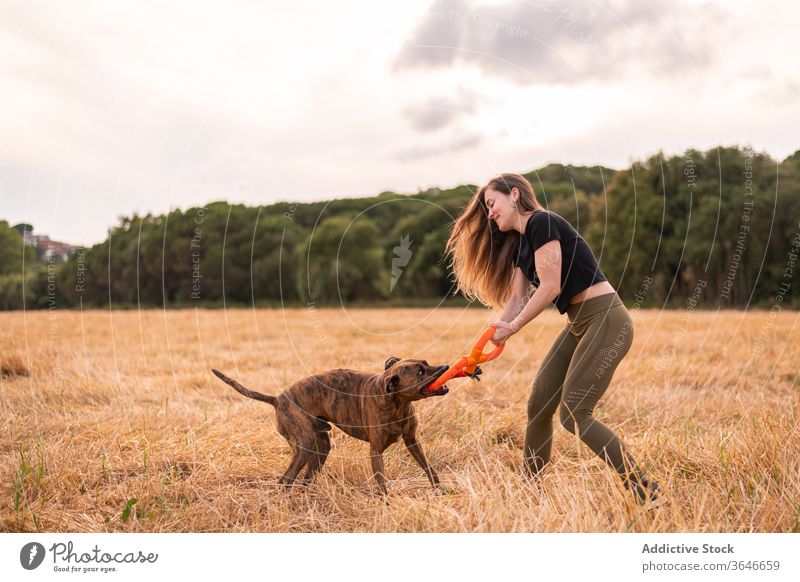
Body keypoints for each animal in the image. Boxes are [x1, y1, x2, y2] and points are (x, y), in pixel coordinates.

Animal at [212, 358, 450, 496]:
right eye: (420, 372)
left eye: (426, 363)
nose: (446, 367)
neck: (396, 403)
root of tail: (277, 399)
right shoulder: (375, 451)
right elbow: (381, 483)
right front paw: (386, 504)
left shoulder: (412, 442)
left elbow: (430, 469)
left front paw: (440, 492)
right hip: (304, 446)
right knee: (285, 480)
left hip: (321, 448)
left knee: (304, 479)